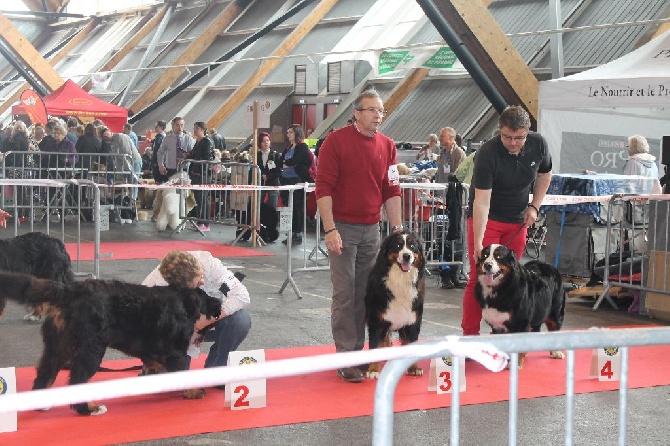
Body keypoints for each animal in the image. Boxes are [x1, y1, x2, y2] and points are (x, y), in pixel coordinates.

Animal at [364, 232, 428, 378]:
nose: (407, 256)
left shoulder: (413, 322)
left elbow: (411, 343)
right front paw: (373, 370)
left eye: (412, 246)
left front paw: (414, 368)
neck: (401, 281)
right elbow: (375, 345)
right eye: (398, 246)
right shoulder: (377, 321)